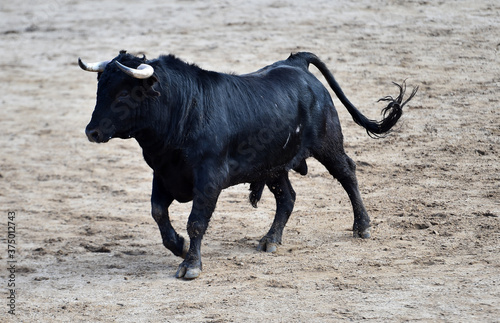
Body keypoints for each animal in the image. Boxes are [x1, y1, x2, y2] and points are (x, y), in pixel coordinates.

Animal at [79, 50, 418, 278]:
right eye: (99, 89)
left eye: (124, 93)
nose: (91, 132)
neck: (183, 109)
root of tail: (297, 62)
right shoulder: (162, 174)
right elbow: (158, 212)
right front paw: (179, 246)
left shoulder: (209, 178)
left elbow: (196, 221)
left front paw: (190, 265)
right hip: (274, 165)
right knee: (287, 197)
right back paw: (270, 239)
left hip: (328, 143)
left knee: (348, 173)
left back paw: (363, 226)